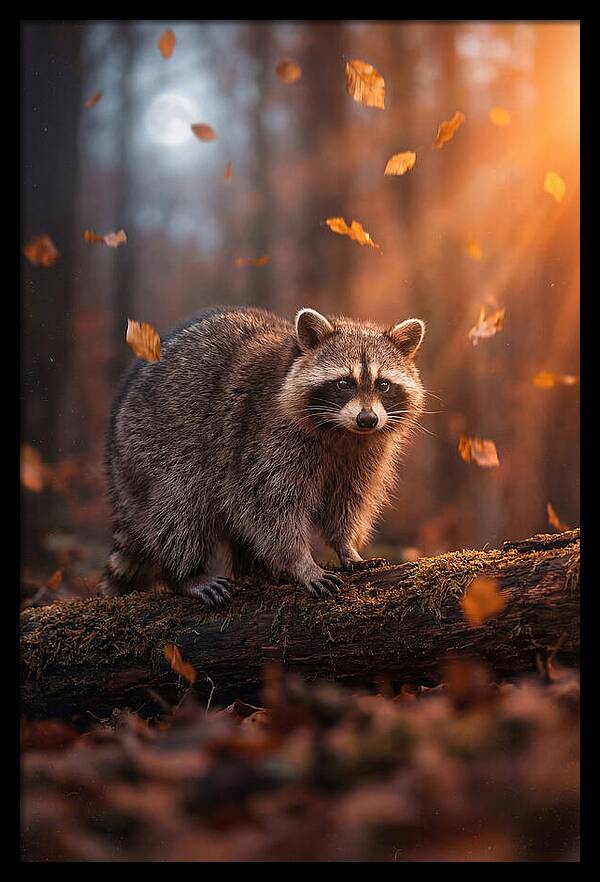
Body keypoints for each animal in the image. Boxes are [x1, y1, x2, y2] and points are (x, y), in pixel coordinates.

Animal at [102, 306, 426, 606]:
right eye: (344, 383)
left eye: (383, 385)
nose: (367, 419)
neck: (342, 431)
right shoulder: (262, 438)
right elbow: (271, 507)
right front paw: (301, 562)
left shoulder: (364, 454)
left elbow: (347, 501)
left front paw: (346, 546)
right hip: (153, 448)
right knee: (179, 509)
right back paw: (185, 574)